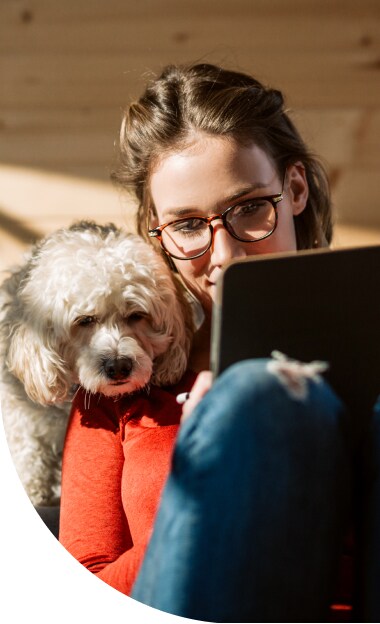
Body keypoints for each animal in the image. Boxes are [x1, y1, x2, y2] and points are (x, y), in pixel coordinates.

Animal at [0, 222, 190, 510]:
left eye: (136, 315)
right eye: (85, 320)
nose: (119, 366)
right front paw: (35, 490)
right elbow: (29, 448)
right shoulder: (22, 416)